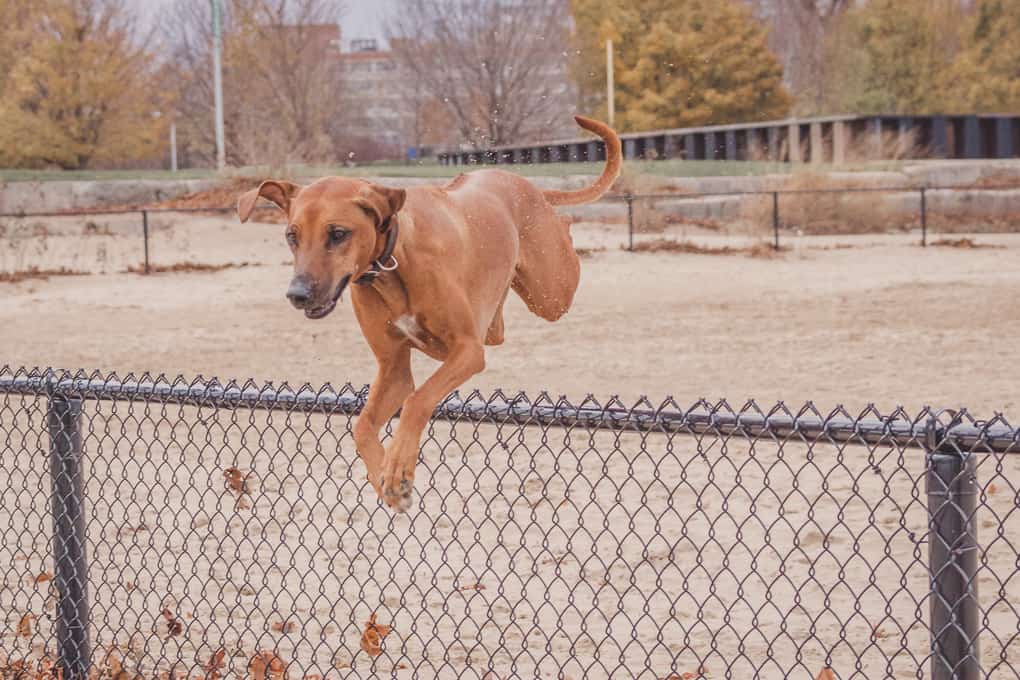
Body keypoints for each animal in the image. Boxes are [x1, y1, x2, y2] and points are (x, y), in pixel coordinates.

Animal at [238, 115, 620, 509]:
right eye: (291, 236)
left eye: (338, 233)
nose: (297, 294)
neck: (391, 263)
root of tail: (526, 184)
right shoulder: (393, 368)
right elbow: (362, 425)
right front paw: (385, 477)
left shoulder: (467, 350)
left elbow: (418, 399)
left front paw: (396, 468)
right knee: (496, 324)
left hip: (552, 292)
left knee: (562, 255)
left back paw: (567, 226)